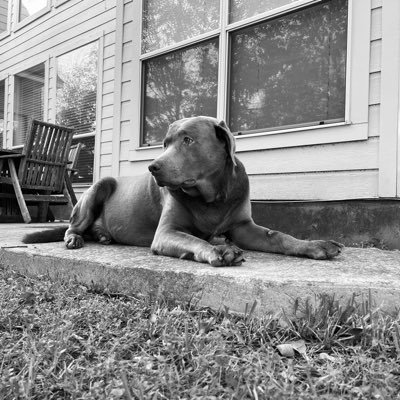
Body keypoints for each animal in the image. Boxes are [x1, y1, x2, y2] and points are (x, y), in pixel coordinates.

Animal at [21, 115, 342, 266]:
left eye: (188, 140)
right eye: (164, 143)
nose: (153, 167)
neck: (212, 197)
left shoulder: (243, 226)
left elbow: (279, 236)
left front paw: (316, 245)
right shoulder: (166, 233)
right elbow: (193, 239)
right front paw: (220, 250)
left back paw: (102, 236)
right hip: (98, 187)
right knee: (72, 225)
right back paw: (75, 238)